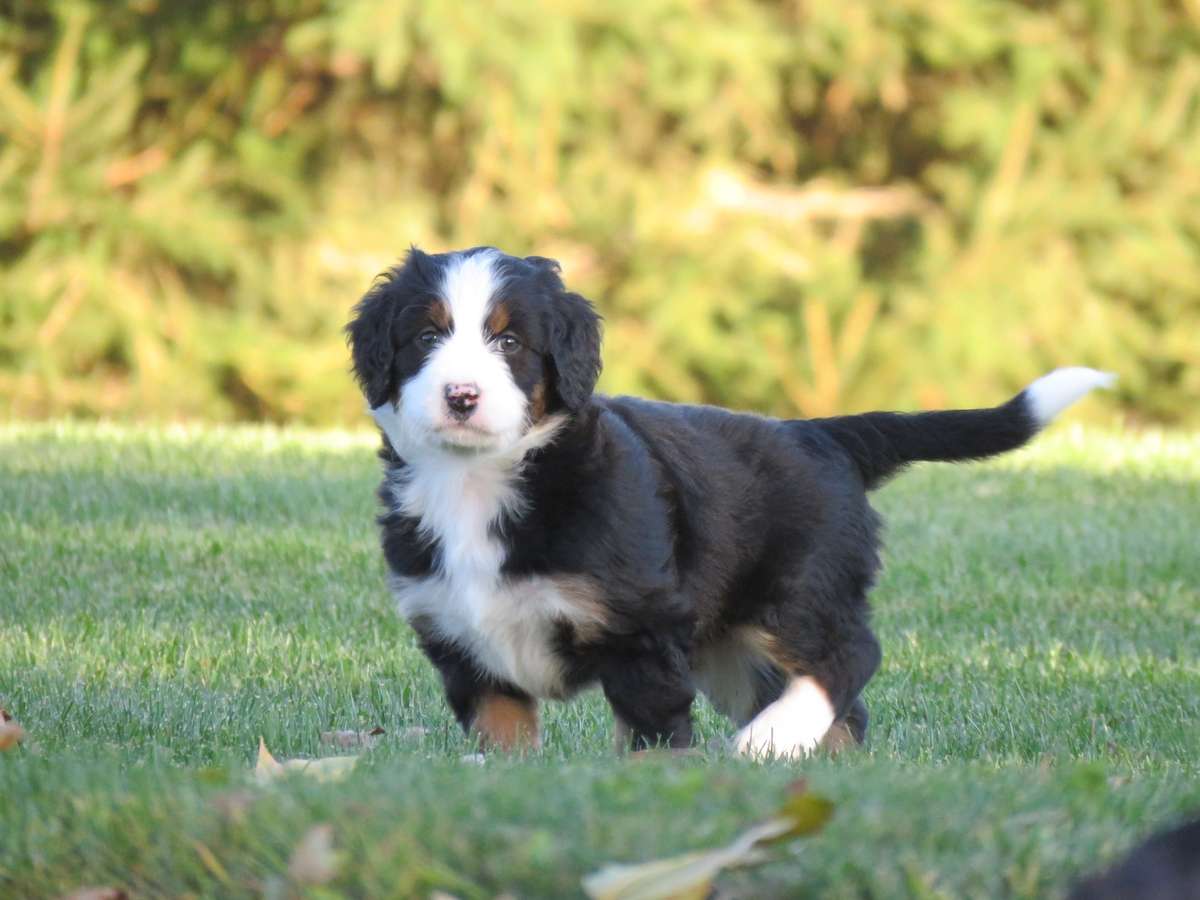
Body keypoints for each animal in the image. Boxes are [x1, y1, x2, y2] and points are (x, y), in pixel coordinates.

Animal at [348, 247, 1113, 763]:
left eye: (509, 340)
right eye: (426, 337)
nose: (461, 396)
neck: (478, 481)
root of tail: (817, 432)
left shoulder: (640, 627)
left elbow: (651, 729)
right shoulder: (463, 641)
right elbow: (503, 728)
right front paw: (496, 774)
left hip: (797, 593)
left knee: (850, 654)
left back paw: (768, 738)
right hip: (732, 646)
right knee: (847, 707)